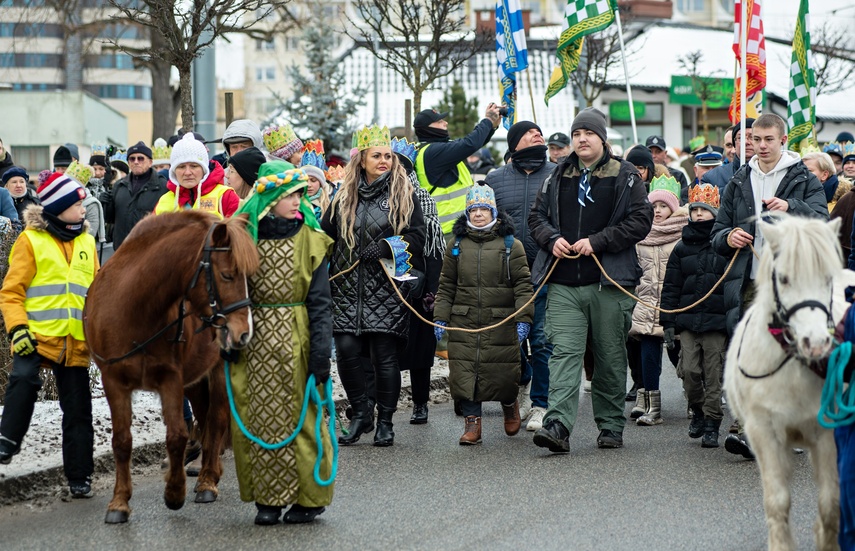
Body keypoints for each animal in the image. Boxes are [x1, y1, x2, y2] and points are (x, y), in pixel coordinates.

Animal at [86, 211, 260, 528]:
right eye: (228, 275)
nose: (243, 333)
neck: (135, 309)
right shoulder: (113, 381)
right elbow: (122, 441)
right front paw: (119, 502)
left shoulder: (171, 379)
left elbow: (177, 435)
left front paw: (175, 491)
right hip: (196, 380)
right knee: (205, 417)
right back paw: (209, 470)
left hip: (215, 371)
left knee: (216, 419)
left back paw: (207, 480)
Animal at [724, 215, 852, 551]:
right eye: (782, 278)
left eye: (827, 277)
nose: (816, 343)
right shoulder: (764, 432)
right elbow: (777, 501)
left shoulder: (828, 434)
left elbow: (830, 502)